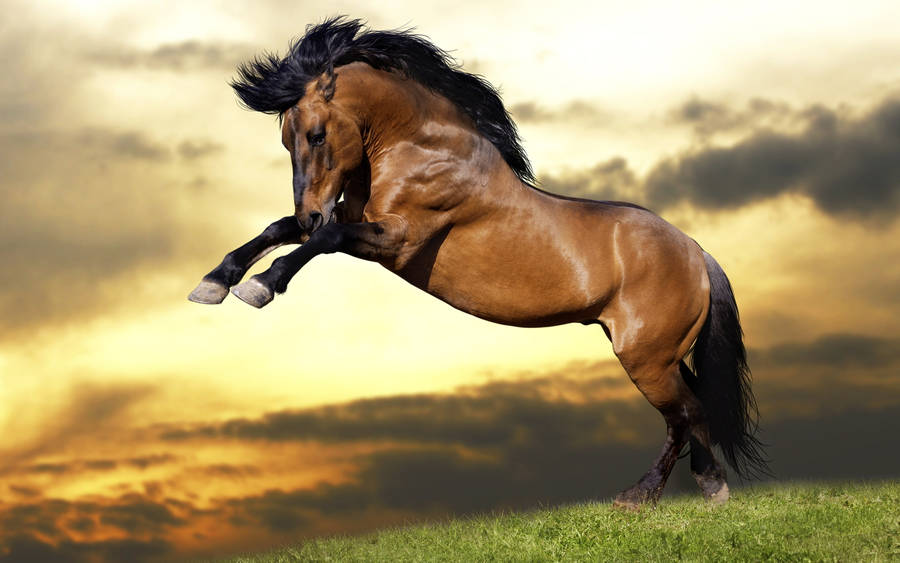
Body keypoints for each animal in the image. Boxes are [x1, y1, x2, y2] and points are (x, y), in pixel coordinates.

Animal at [188, 17, 768, 509]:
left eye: (315, 135)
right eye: (286, 139)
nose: (309, 208)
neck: (419, 148)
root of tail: (696, 251)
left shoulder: (395, 239)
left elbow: (322, 239)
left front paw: (261, 286)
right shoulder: (354, 222)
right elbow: (280, 230)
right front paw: (214, 283)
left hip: (645, 358)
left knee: (683, 414)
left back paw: (641, 496)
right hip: (660, 354)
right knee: (694, 409)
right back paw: (709, 487)